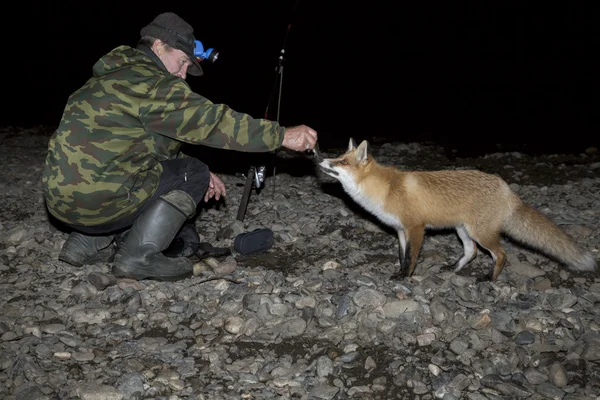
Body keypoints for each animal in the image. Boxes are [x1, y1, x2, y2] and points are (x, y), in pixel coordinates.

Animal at [318, 139, 596, 280]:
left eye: (341, 161)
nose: (320, 159)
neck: (385, 190)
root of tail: (505, 187)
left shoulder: (416, 228)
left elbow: (411, 257)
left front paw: (405, 277)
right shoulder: (400, 230)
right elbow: (401, 255)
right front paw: (399, 272)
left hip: (480, 232)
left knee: (502, 254)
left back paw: (489, 278)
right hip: (464, 231)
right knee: (471, 252)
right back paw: (453, 269)